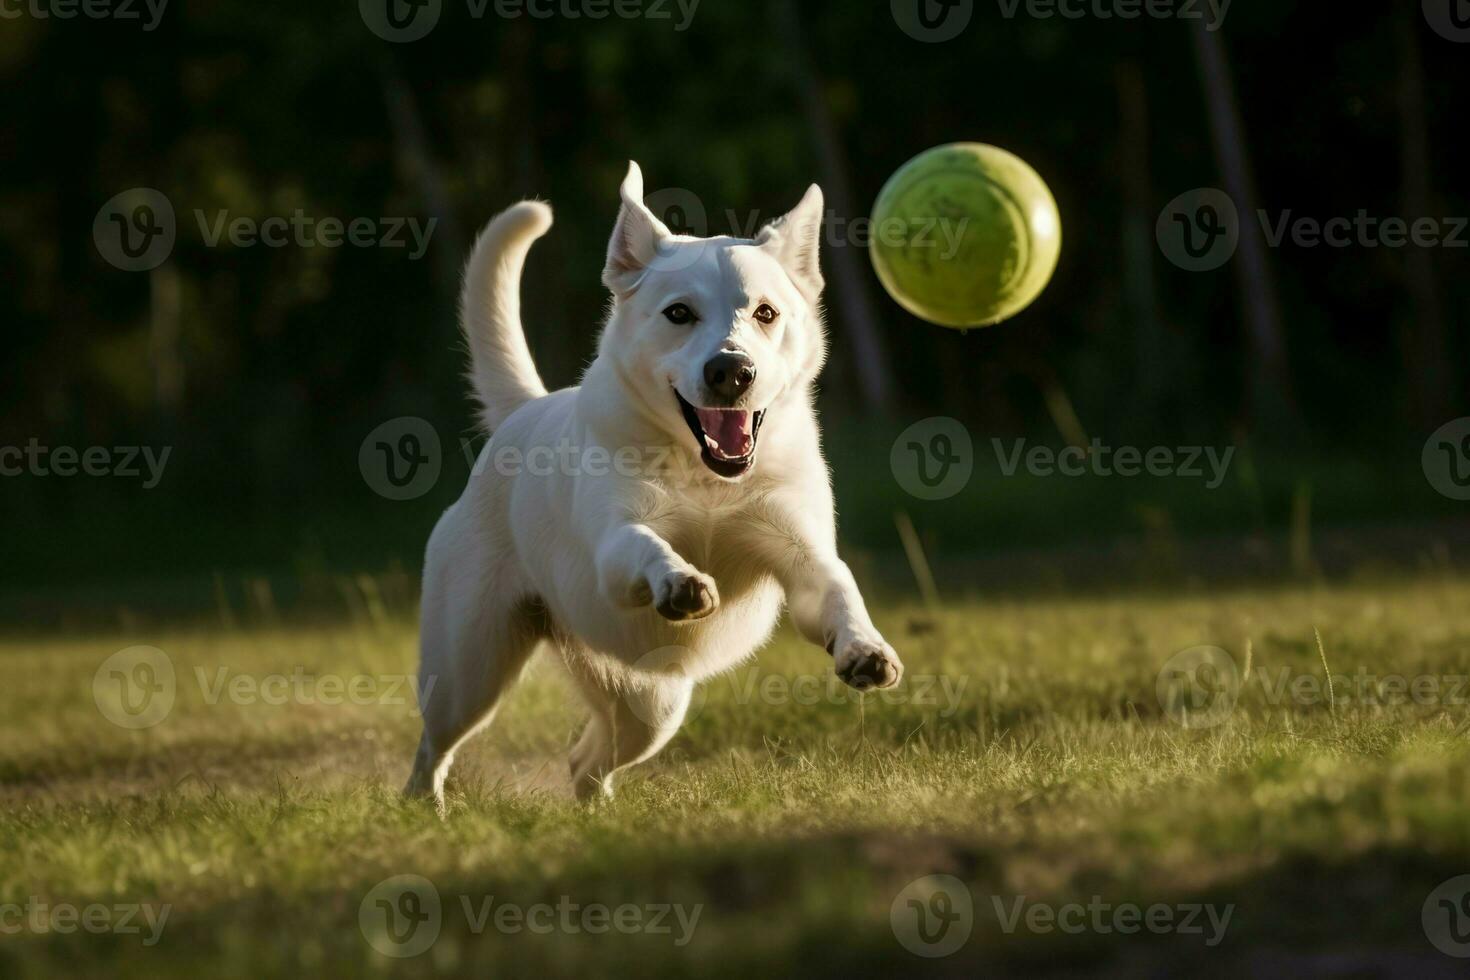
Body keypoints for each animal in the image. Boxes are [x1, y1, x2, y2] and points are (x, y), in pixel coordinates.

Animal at [408, 164, 899, 811]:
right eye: (679, 313)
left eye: (766, 313)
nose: (731, 371)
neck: (707, 479)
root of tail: (524, 410)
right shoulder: (613, 547)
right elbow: (646, 544)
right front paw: (680, 579)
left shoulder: (801, 555)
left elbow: (838, 588)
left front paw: (866, 649)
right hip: (470, 668)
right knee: (434, 746)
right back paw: (427, 807)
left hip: (653, 703)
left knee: (586, 759)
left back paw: (599, 814)